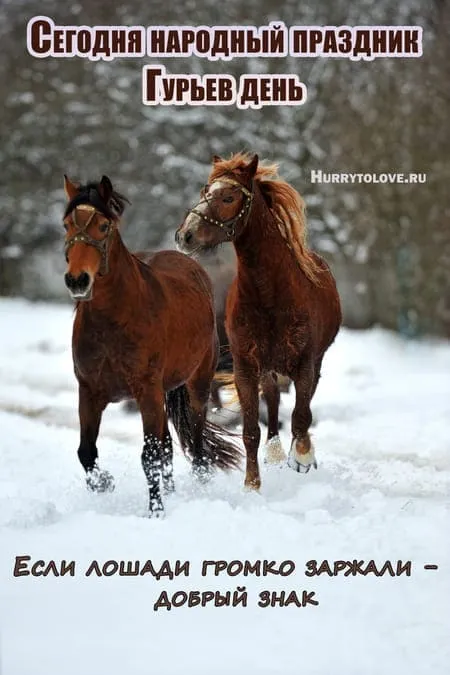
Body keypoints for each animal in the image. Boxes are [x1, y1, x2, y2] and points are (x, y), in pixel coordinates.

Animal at [62, 174, 243, 516]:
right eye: (66, 224)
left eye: (103, 226)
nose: (77, 280)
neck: (114, 321)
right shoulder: (89, 392)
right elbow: (86, 452)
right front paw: (105, 484)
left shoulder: (147, 391)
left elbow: (150, 456)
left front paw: (156, 511)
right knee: (169, 446)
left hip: (197, 385)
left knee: (196, 445)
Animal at [176, 153, 342, 492]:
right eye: (205, 191)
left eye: (228, 197)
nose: (185, 235)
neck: (269, 294)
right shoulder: (247, 366)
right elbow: (251, 430)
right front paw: (252, 483)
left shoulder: (305, 363)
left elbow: (301, 417)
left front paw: (302, 458)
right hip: (267, 368)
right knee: (274, 399)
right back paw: (275, 452)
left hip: (313, 361)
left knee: (301, 407)